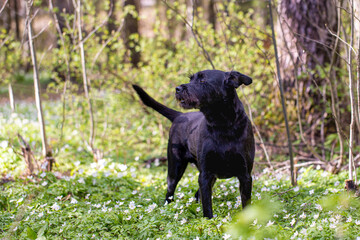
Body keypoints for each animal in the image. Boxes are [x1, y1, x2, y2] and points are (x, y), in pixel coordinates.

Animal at [134, 68, 255, 218]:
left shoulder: (245, 175)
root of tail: (180, 115)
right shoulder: (205, 174)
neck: (223, 125)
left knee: (197, 194)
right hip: (175, 167)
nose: (178, 89)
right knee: (170, 192)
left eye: (202, 80)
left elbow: (245, 203)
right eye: (190, 79)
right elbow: (207, 206)